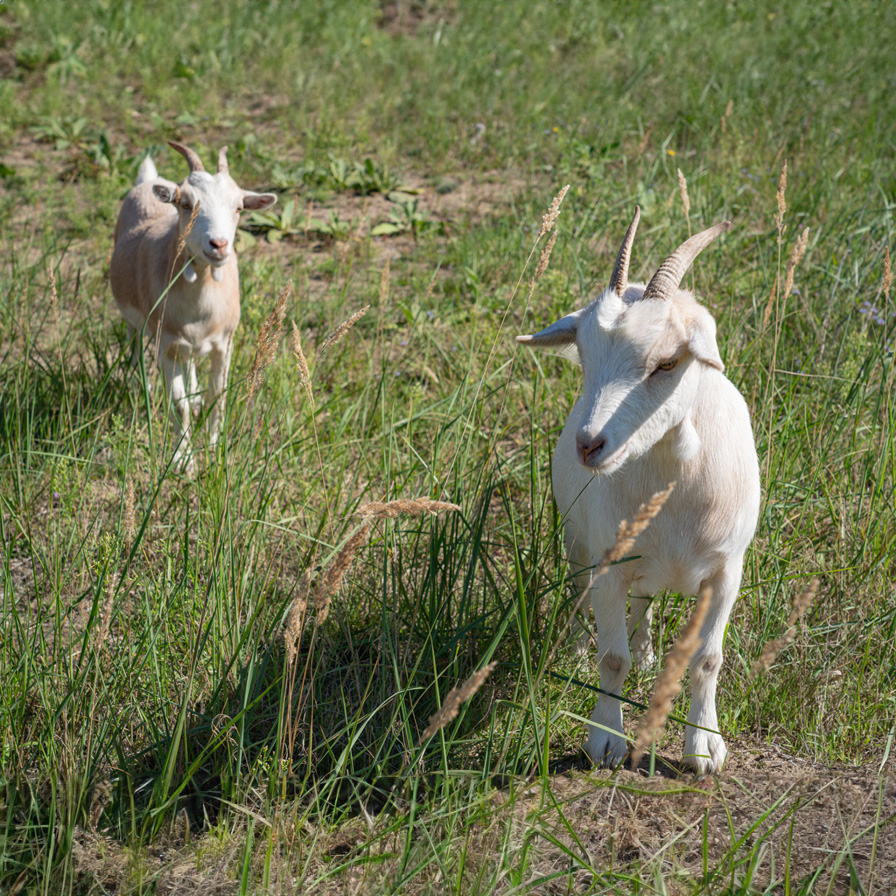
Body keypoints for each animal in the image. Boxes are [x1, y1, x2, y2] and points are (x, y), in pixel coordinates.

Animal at [109, 140, 276, 472]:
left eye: (239, 207)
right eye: (185, 204)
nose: (219, 245)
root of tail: (148, 182)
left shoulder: (225, 343)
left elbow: (217, 396)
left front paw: (214, 448)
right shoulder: (166, 344)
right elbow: (179, 405)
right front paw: (183, 460)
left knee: (192, 364)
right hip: (135, 319)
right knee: (134, 341)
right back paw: (140, 385)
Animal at [516, 208, 760, 768]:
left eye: (667, 362)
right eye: (583, 356)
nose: (589, 445)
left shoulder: (725, 572)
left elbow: (707, 659)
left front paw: (704, 747)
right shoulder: (609, 563)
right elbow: (611, 658)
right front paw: (606, 740)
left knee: (645, 600)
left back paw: (648, 649)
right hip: (578, 540)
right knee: (580, 595)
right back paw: (576, 648)